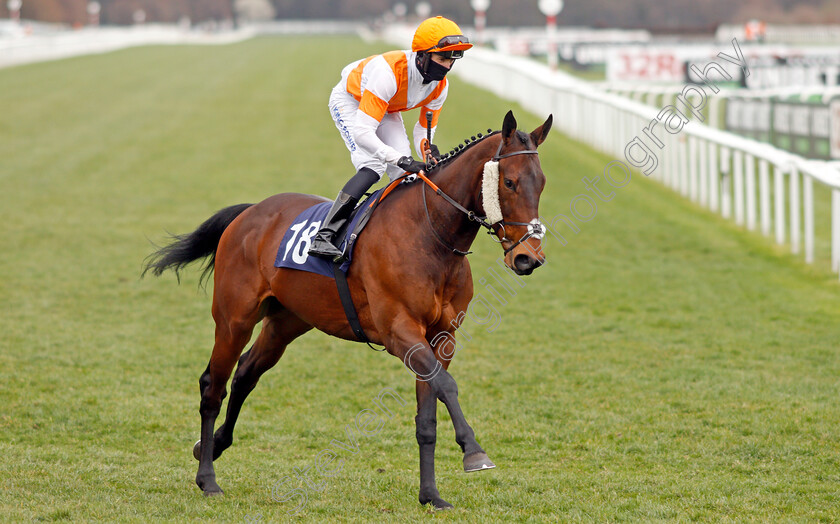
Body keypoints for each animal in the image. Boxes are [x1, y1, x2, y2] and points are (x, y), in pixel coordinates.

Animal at [143, 109, 552, 508]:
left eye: (543, 182)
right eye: (510, 182)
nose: (528, 258)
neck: (430, 234)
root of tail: (250, 212)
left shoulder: (442, 337)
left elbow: (428, 415)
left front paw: (431, 495)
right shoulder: (399, 332)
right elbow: (447, 387)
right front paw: (474, 452)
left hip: (287, 322)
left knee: (246, 373)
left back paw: (210, 446)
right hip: (234, 318)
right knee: (213, 385)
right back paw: (207, 479)